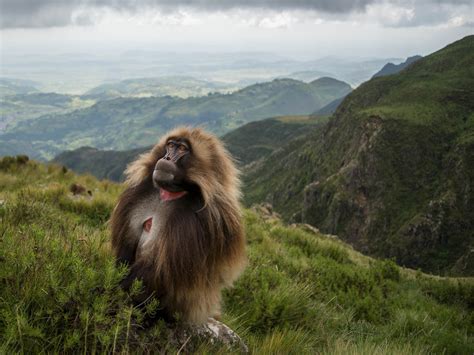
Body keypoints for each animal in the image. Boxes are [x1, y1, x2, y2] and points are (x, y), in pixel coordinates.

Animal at [109, 128, 246, 326]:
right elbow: (127, 248)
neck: (171, 194)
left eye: (182, 148)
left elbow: (161, 271)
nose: (166, 158)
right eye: (170, 145)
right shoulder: (139, 195)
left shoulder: (198, 220)